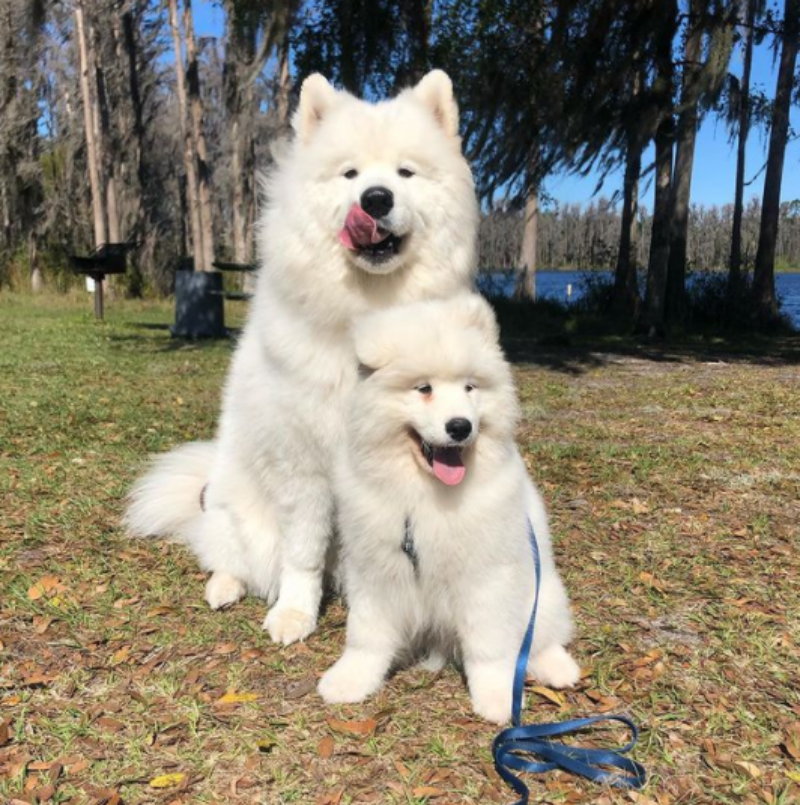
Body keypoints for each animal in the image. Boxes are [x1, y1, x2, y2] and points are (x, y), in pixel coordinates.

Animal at [122, 72, 478, 644]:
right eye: (350, 173)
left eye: (405, 172)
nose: (374, 199)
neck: (366, 313)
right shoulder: (305, 467)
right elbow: (304, 553)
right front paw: (294, 613)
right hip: (239, 515)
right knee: (226, 552)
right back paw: (224, 586)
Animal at [320, 294, 580, 724]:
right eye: (423, 388)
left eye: (470, 387)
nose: (460, 426)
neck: (425, 494)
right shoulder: (375, 568)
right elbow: (366, 635)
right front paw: (350, 680)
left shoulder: (486, 577)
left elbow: (490, 647)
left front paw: (497, 698)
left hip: (543, 593)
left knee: (542, 637)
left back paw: (558, 668)